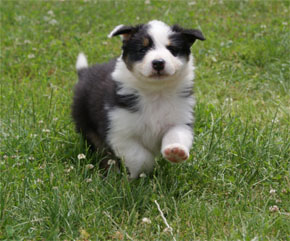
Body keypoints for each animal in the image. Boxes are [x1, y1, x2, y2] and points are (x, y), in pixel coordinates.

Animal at [71, 20, 205, 179]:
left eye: (172, 49)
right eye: (142, 50)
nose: (158, 62)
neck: (155, 93)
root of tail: (84, 72)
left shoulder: (180, 118)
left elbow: (177, 134)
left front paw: (175, 152)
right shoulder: (119, 131)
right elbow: (141, 157)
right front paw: (137, 175)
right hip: (86, 123)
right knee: (103, 152)